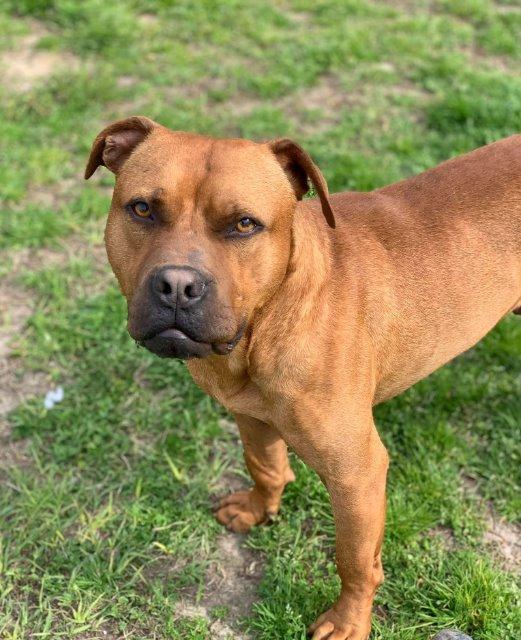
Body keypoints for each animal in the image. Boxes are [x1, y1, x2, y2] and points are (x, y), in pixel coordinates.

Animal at [85, 116, 520, 640]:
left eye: (244, 224)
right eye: (143, 209)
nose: (177, 285)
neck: (263, 326)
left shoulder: (356, 473)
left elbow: (355, 559)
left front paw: (349, 620)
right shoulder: (250, 418)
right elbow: (266, 466)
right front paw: (259, 509)